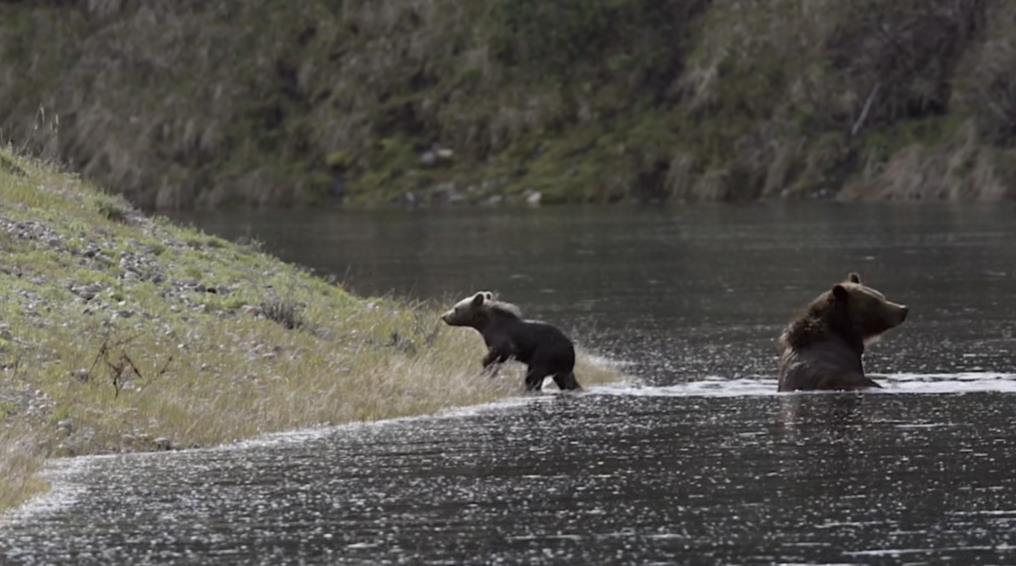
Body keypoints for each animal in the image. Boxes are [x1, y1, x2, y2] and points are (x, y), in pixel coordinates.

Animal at [442, 290, 581, 388]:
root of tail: (571, 348)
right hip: (561, 364)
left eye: (456, 308)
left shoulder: (503, 338)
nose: (444, 316)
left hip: (547, 354)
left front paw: (486, 364)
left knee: (533, 376)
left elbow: (503, 351)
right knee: (567, 380)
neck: (486, 325)